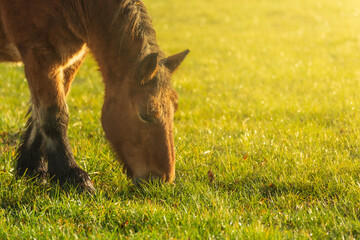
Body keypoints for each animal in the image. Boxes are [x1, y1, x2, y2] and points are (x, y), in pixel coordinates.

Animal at [0, 0, 190, 191]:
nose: (162, 180)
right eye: (145, 115)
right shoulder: (40, 55)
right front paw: (72, 175)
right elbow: (53, 115)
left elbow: (38, 115)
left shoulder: (69, 61)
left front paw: (32, 169)